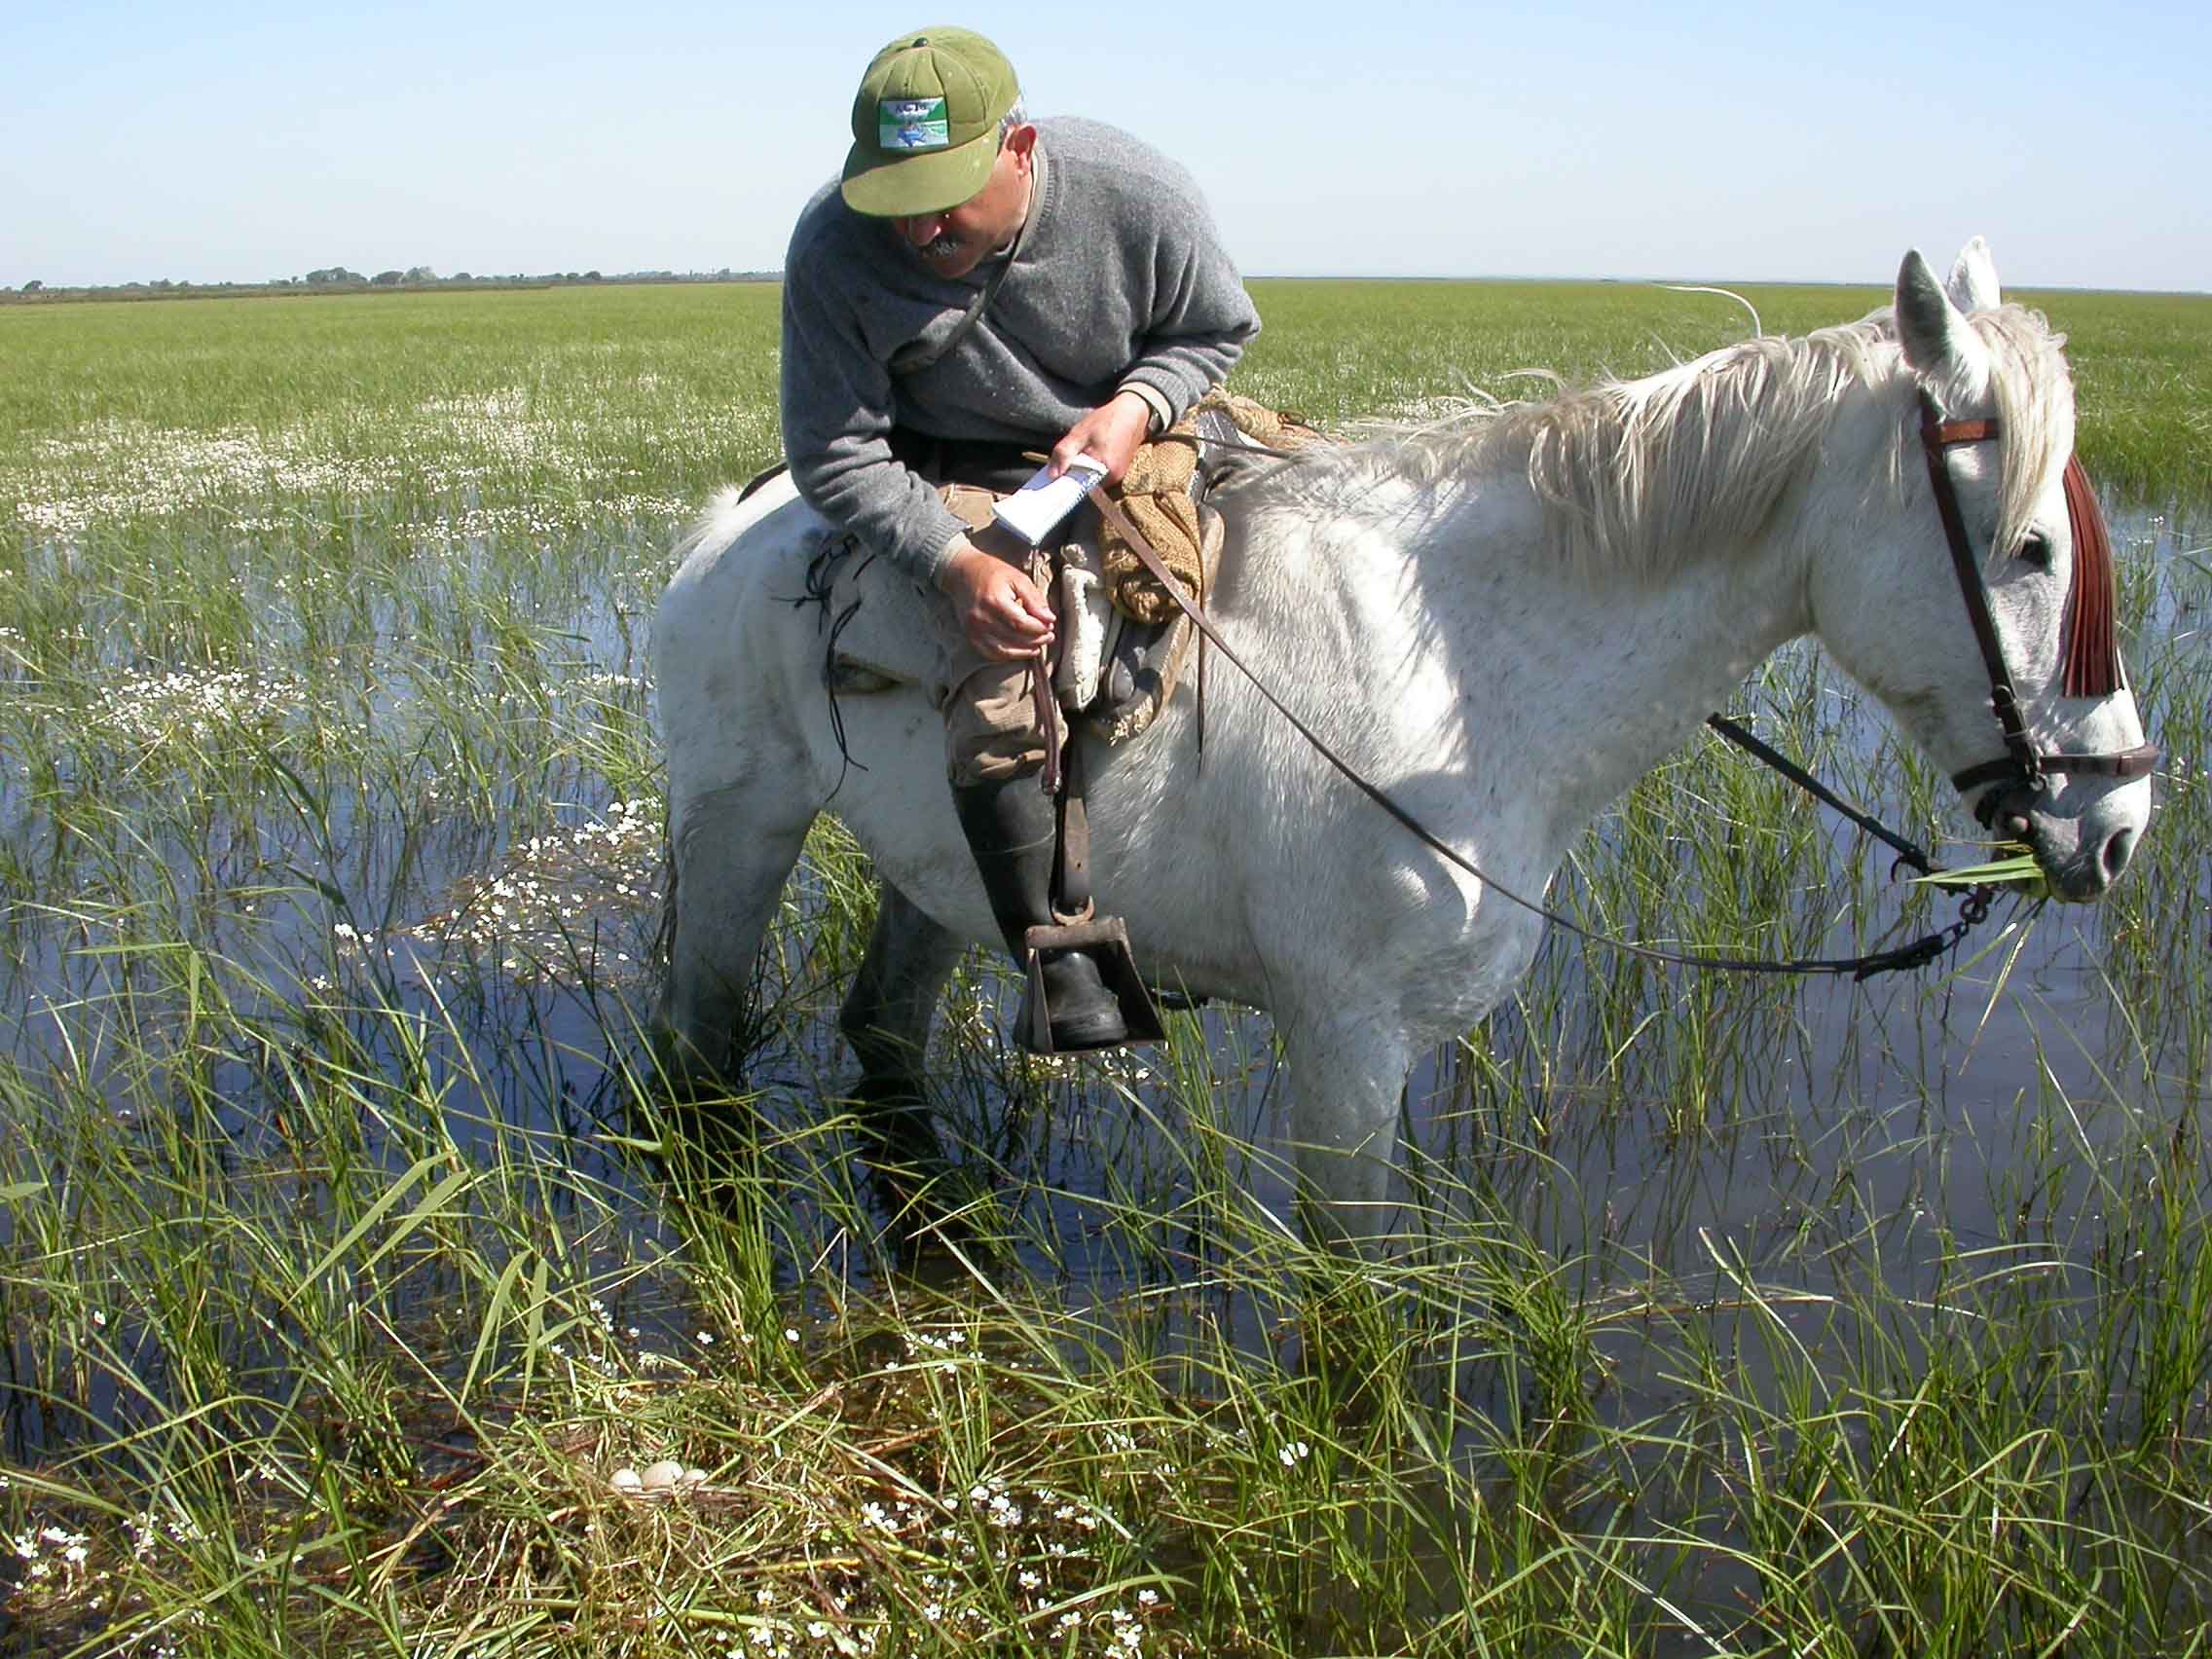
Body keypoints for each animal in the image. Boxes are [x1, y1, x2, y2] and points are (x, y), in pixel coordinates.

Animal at [645, 240, 2150, 1238]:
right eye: (2029, 546)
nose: (2116, 822)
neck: (1465, 675)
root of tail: (738, 520)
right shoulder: (1348, 1051)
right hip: (736, 834)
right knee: (697, 1047)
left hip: (936, 878)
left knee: (885, 1032)